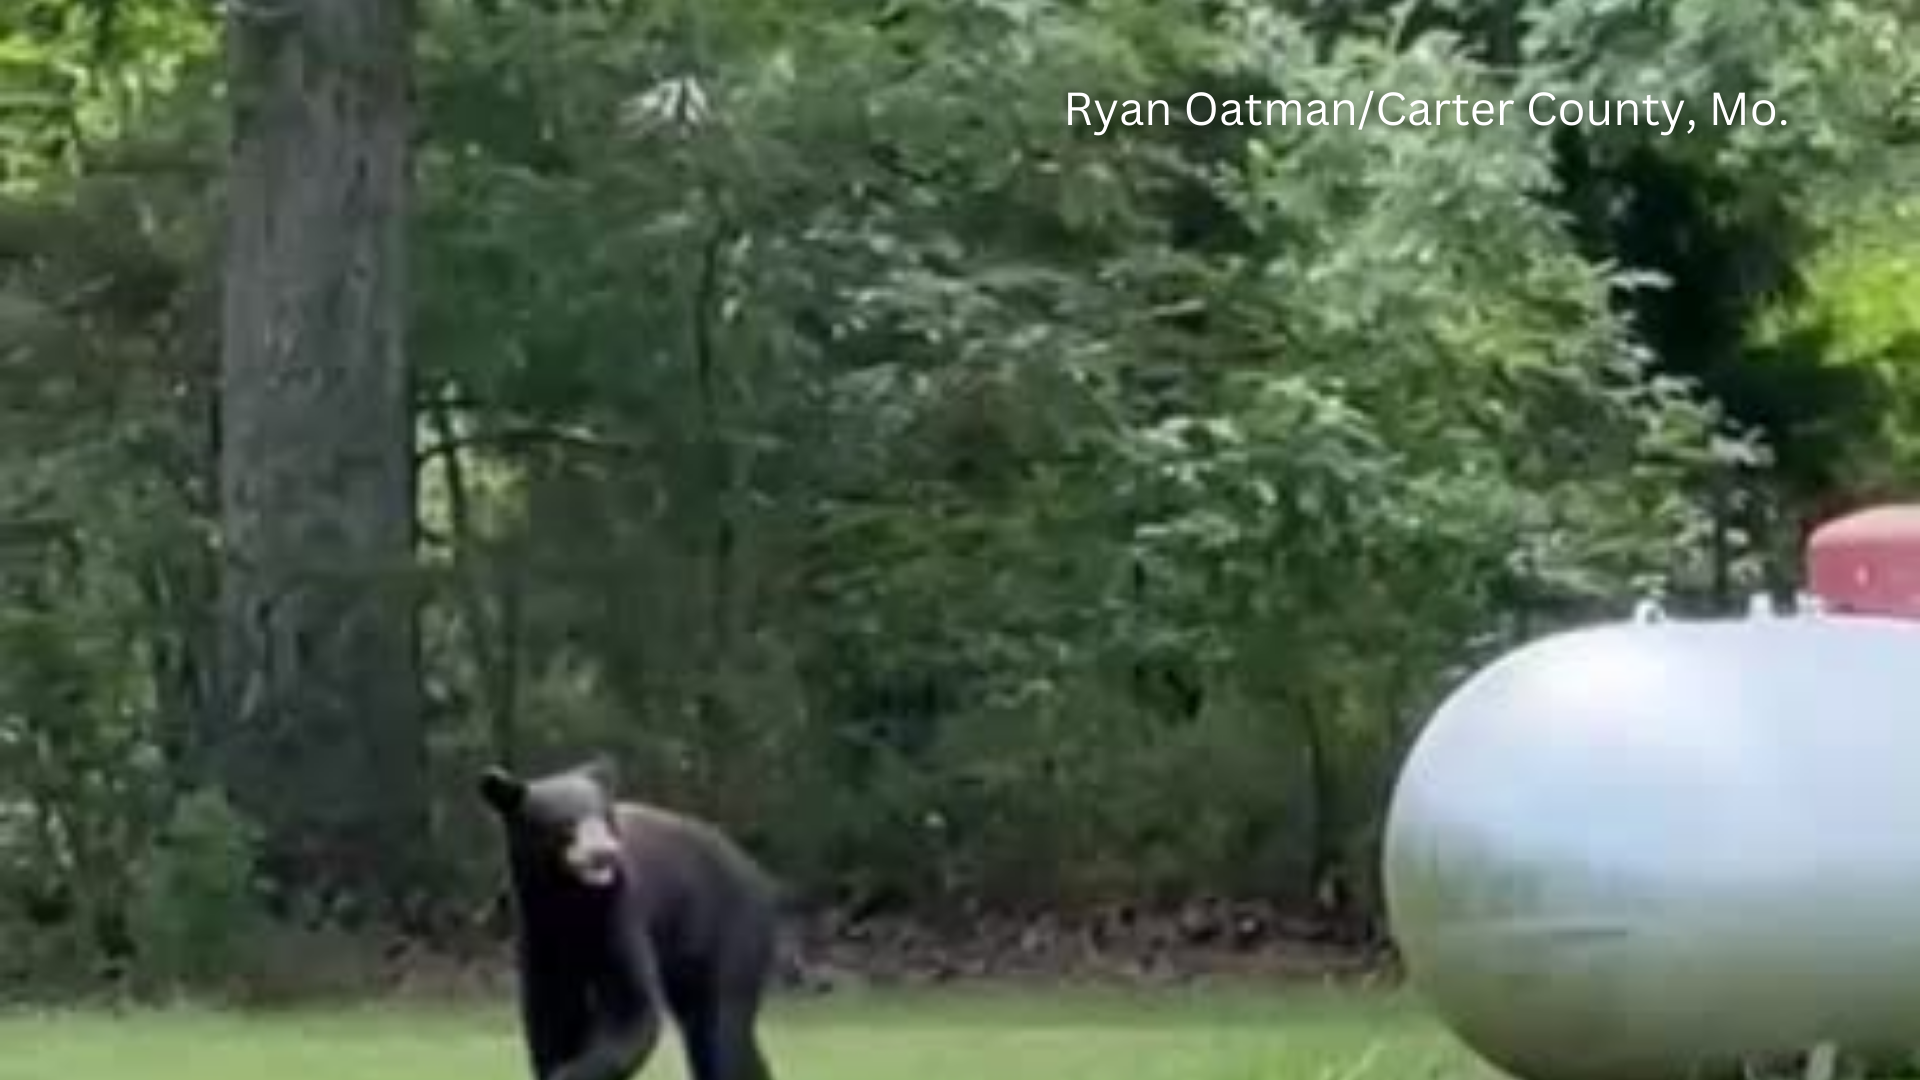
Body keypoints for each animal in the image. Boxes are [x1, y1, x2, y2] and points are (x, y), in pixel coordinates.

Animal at [480, 757, 779, 1076]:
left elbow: (633, 1010)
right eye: (566, 823)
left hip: (730, 929)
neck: (570, 899)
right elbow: (551, 1016)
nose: (605, 853)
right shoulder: (537, 930)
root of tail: (757, 873)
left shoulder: (620, 912)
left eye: (602, 817)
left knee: (721, 1030)